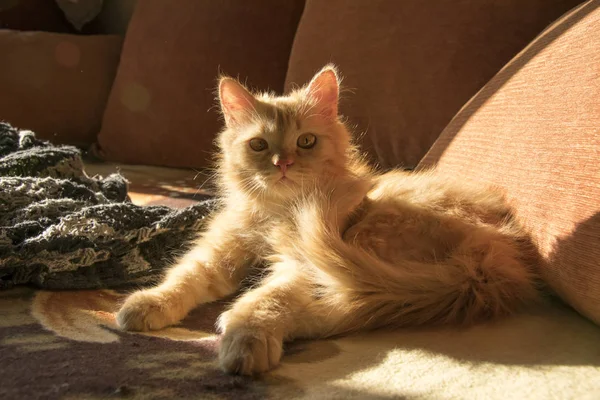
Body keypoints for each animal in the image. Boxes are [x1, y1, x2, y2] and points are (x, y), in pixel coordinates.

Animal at [115, 65, 540, 376]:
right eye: (258, 145)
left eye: (306, 141)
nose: (283, 164)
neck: (277, 214)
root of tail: (494, 257)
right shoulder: (218, 252)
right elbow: (182, 278)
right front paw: (147, 304)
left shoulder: (301, 264)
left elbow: (269, 298)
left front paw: (246, 338)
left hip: (368, 242)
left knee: (341, 309)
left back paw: (240, 325)